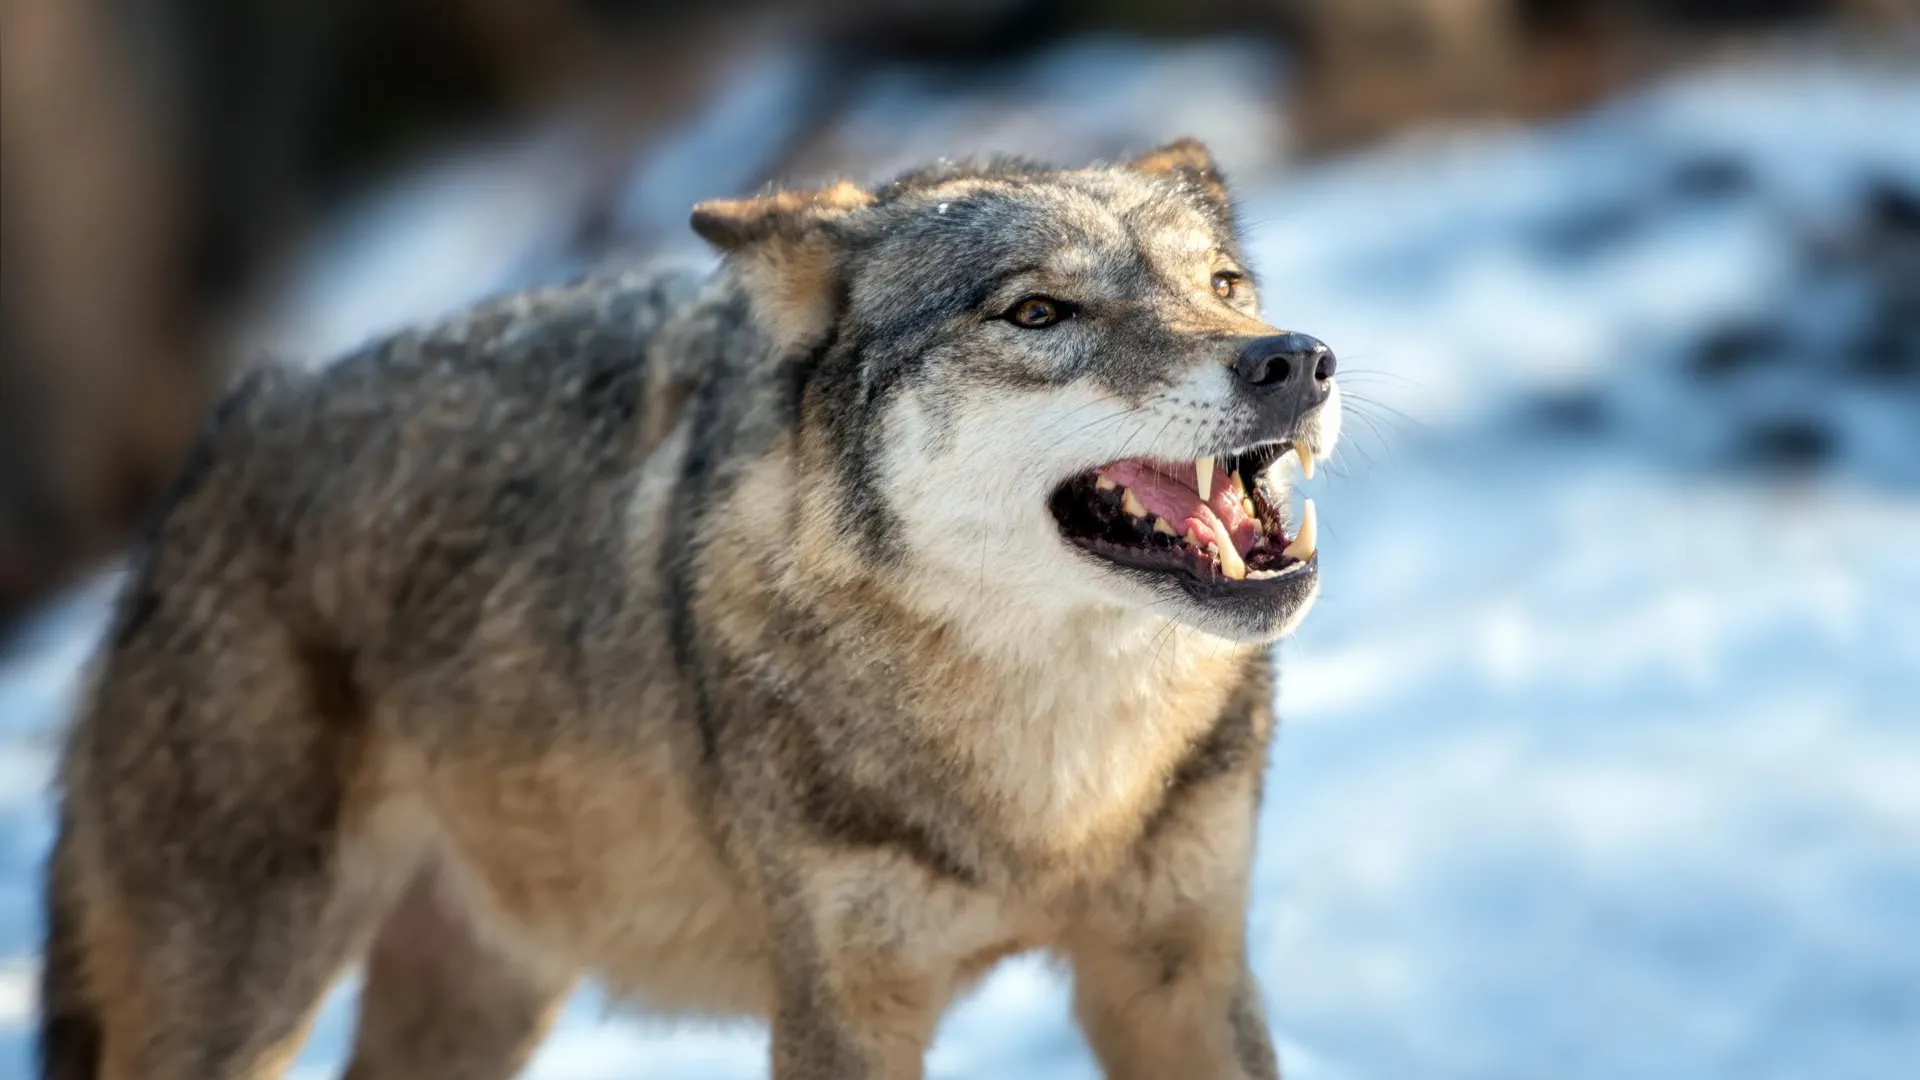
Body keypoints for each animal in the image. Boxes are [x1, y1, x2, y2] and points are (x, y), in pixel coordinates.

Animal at [37, 138, 1344, 1068]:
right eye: (1037, 313)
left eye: (1224, 285)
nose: (1294, 358)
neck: (1056, 795)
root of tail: (215, 449)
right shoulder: (840, 1011)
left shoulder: (1177, 974)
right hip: (247, 1001)